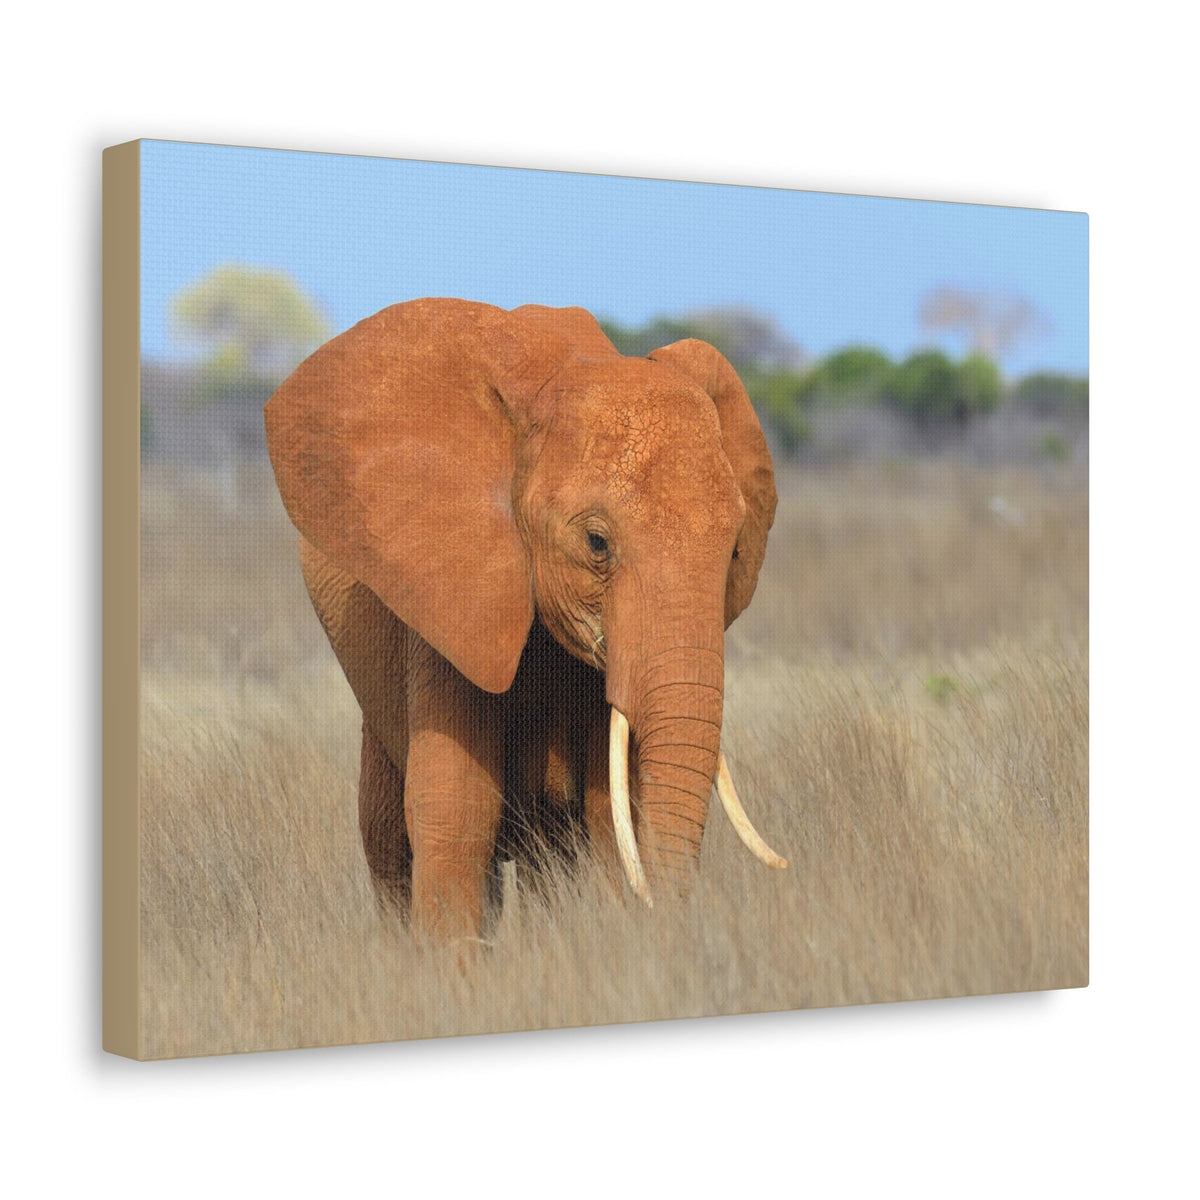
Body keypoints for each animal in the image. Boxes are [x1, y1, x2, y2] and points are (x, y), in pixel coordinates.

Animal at [264, 297, 786, 941]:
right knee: (389, 840)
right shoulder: (445, 595)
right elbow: (456, 809)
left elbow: (607, 812)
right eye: (596, 543)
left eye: (735, 549)